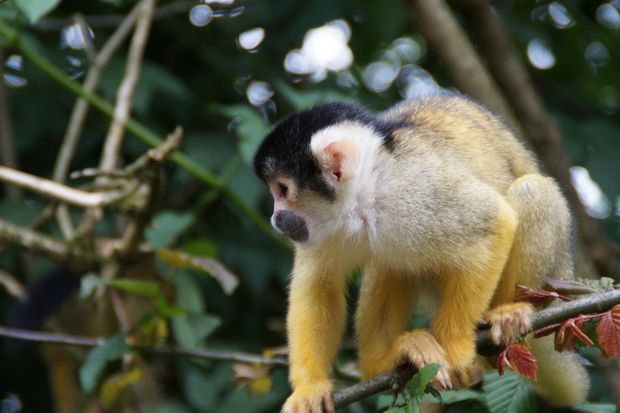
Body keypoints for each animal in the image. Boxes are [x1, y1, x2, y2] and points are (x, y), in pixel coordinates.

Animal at [251, 95, 588, 410]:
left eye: (283, 190)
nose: (275, 218)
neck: (366, 196)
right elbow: (320, 286)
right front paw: (309, 388)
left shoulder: (418, 192)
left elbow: (493, 223)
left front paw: (455, 347)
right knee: (392, 263)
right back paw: (385, 363)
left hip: (555, 278)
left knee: (533, 191)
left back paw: (506, 320)